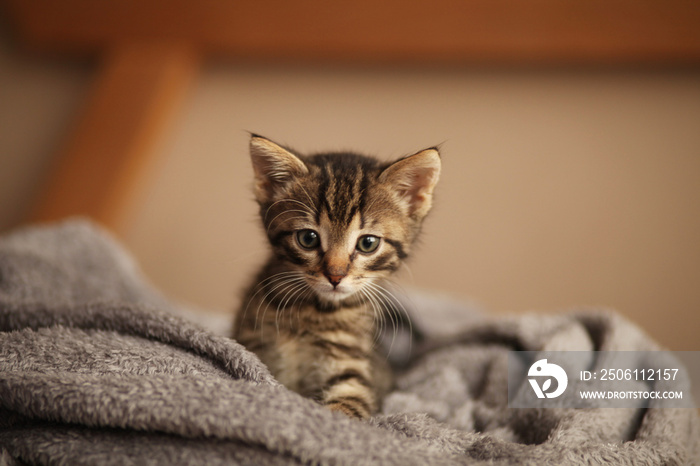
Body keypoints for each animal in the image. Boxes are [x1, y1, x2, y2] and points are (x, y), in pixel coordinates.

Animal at [232, 134, 440, 418]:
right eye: (308, 238)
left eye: (368, 243)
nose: (335, 275)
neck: (313, 311)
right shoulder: (255, 347)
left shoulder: (353, 370)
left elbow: (343, 410)